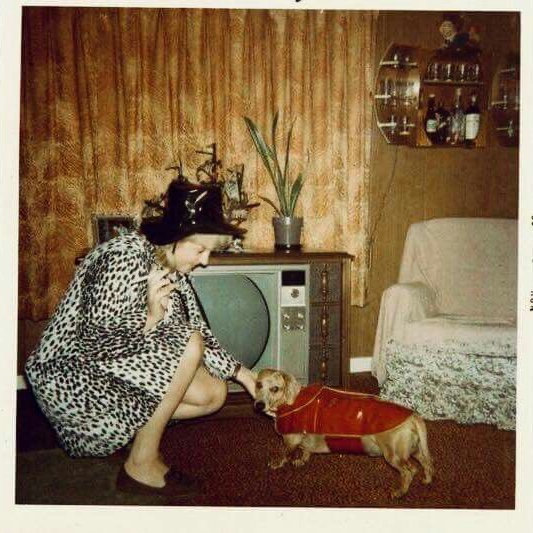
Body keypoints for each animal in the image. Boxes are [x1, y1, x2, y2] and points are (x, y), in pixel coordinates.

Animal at [254, 368, 434, 498]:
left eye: (275, 388)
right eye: (258, 384)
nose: (258, 405)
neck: (292, 401)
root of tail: (413, 416)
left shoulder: (290, 440)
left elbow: (285, 454)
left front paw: (277, 463)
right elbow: (306, 451)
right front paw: (301, 460)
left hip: (394, 455)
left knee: (409, 471)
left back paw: (399, 492)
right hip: (415, 450)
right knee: (425, 464)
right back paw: (427, 480)